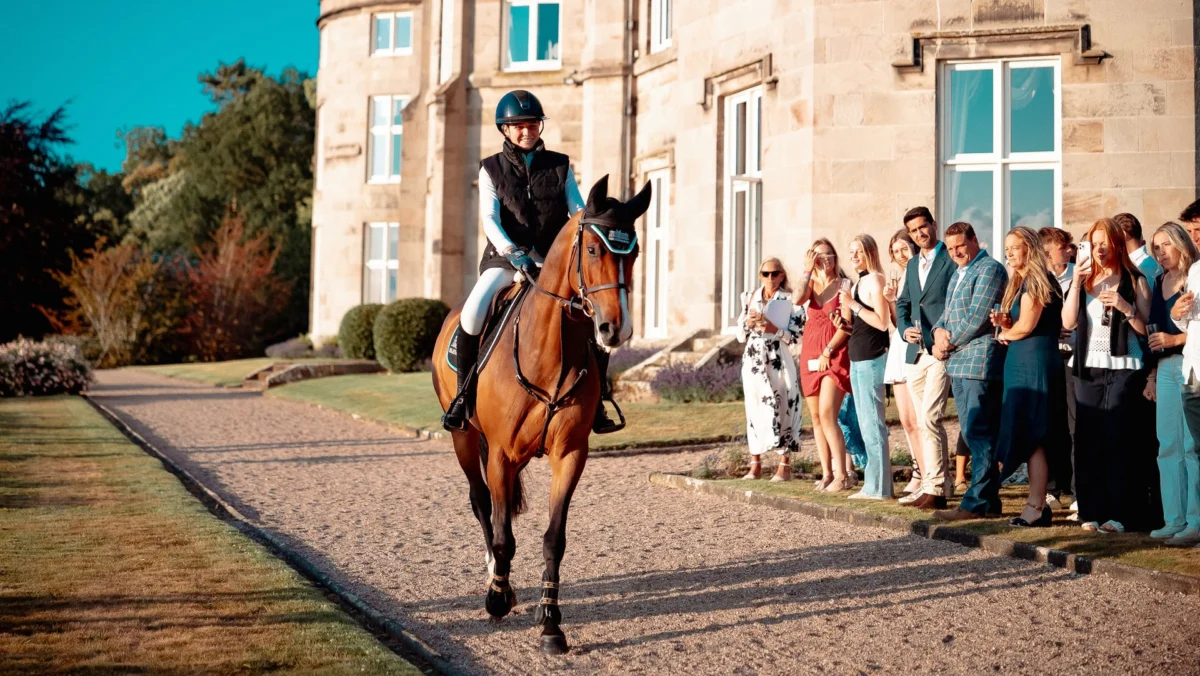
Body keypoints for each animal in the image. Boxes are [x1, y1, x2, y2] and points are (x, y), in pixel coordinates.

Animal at [431, 175, 651, 655]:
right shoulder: (499, 454)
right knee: (481, 503)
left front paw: (550, 622)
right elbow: (502, 534)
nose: (614, 329)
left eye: (635, 252)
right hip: (463, 439)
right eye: (593, 249)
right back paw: (495, 579)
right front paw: (497, 597)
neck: (548, 352)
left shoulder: (569, 455)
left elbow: (553, 539)